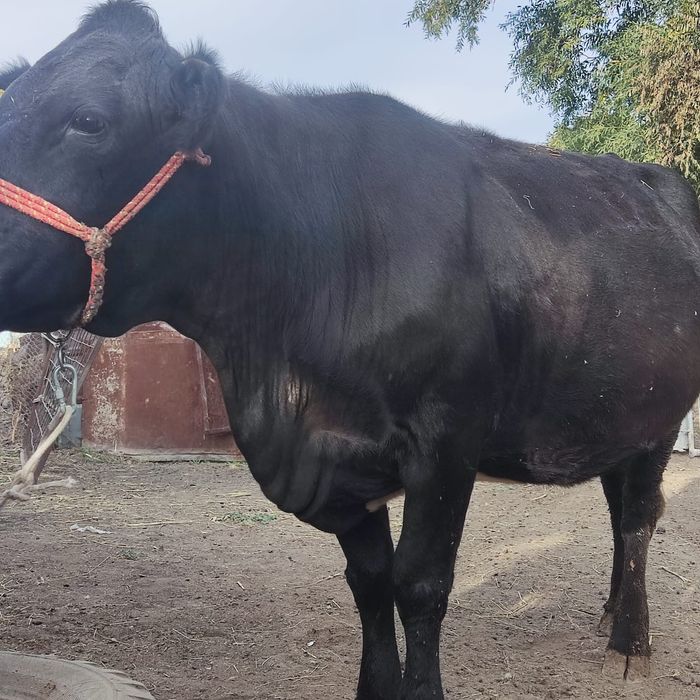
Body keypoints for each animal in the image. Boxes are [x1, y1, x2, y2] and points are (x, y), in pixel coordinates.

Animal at [1, 2, 699, 698]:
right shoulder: (338, 458)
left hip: (660, 415)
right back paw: (611, 610)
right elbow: (369, 584)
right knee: (617, 504)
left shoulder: (447, 441)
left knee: (639, 512)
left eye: (89, 121)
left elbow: (419, 585)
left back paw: (630, 641)